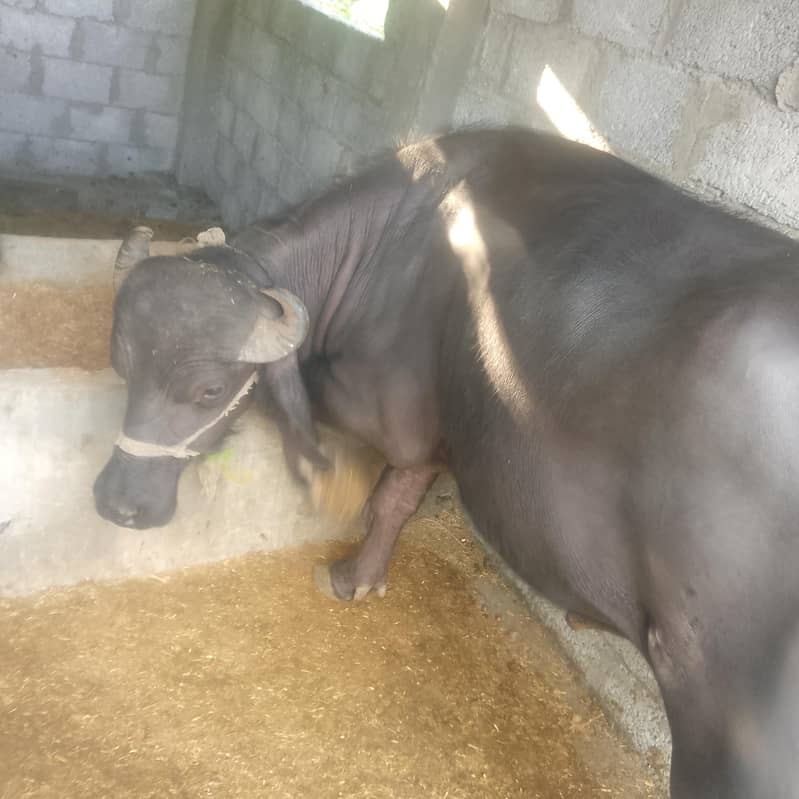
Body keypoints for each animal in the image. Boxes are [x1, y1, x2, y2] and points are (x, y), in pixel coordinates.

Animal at [94, 127, 799, 798]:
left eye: (209, 390)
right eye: (122, 363)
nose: (118, 503)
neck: (391, 246)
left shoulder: (397, 417)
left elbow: (369, 476)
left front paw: (341, 543)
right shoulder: (427, 436)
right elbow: (397, 500)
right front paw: (363, 577)